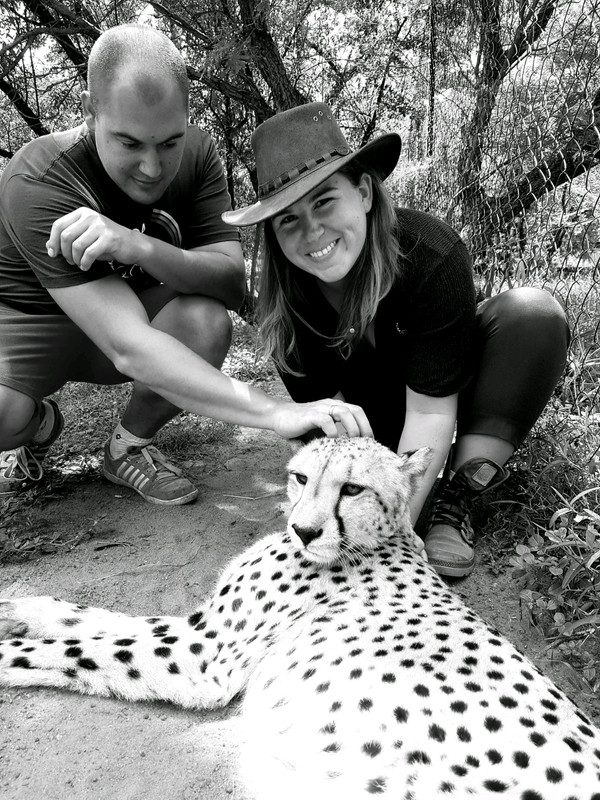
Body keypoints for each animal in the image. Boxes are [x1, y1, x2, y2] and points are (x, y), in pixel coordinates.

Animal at [1, 438, 600, 800]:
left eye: (352, 488)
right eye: (300, 478)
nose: (304, 531)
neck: (377, 541)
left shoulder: (202, 658)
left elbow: (79, 649)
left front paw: (9, 649)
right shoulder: (198, 633)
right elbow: (88, 618)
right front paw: (19, 609)